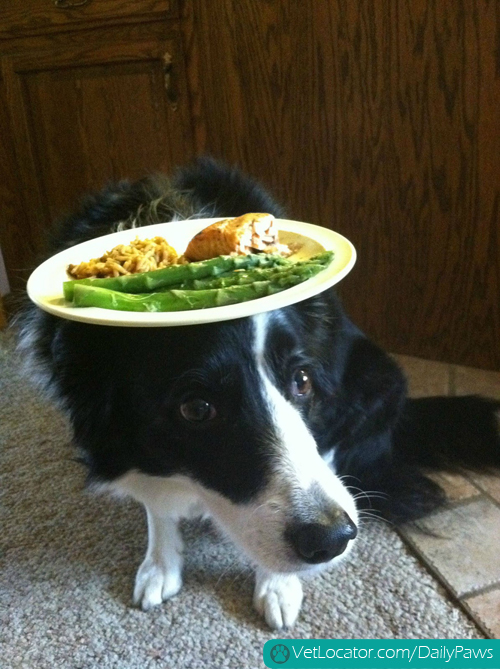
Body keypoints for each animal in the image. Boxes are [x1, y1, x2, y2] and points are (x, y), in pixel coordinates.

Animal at [18, 159, 500, 628]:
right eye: (197, 408)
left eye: (302, 381)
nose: (332, 539)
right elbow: (158, 505)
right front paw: (160, 565)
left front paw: (276, 586)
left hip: (377, 378)